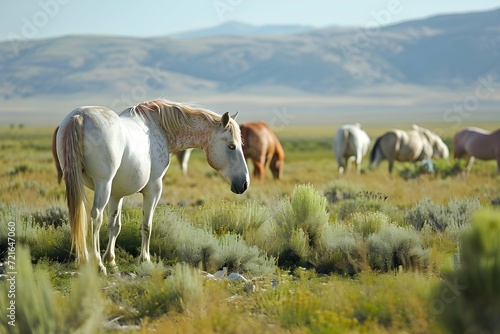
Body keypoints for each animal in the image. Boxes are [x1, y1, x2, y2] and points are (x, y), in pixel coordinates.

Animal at [56, 98, 250, 272]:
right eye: (232, 146)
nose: (245, 183)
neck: (157, 127)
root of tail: (80, 117)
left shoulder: (116, 194)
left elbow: (115, 225)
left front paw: (111, 260)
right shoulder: (153, 189)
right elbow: (146, 225)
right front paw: (145, 259)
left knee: (80, 218)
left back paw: (85, 259)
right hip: (103, 185)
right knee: (96, 217)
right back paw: (97, 263)